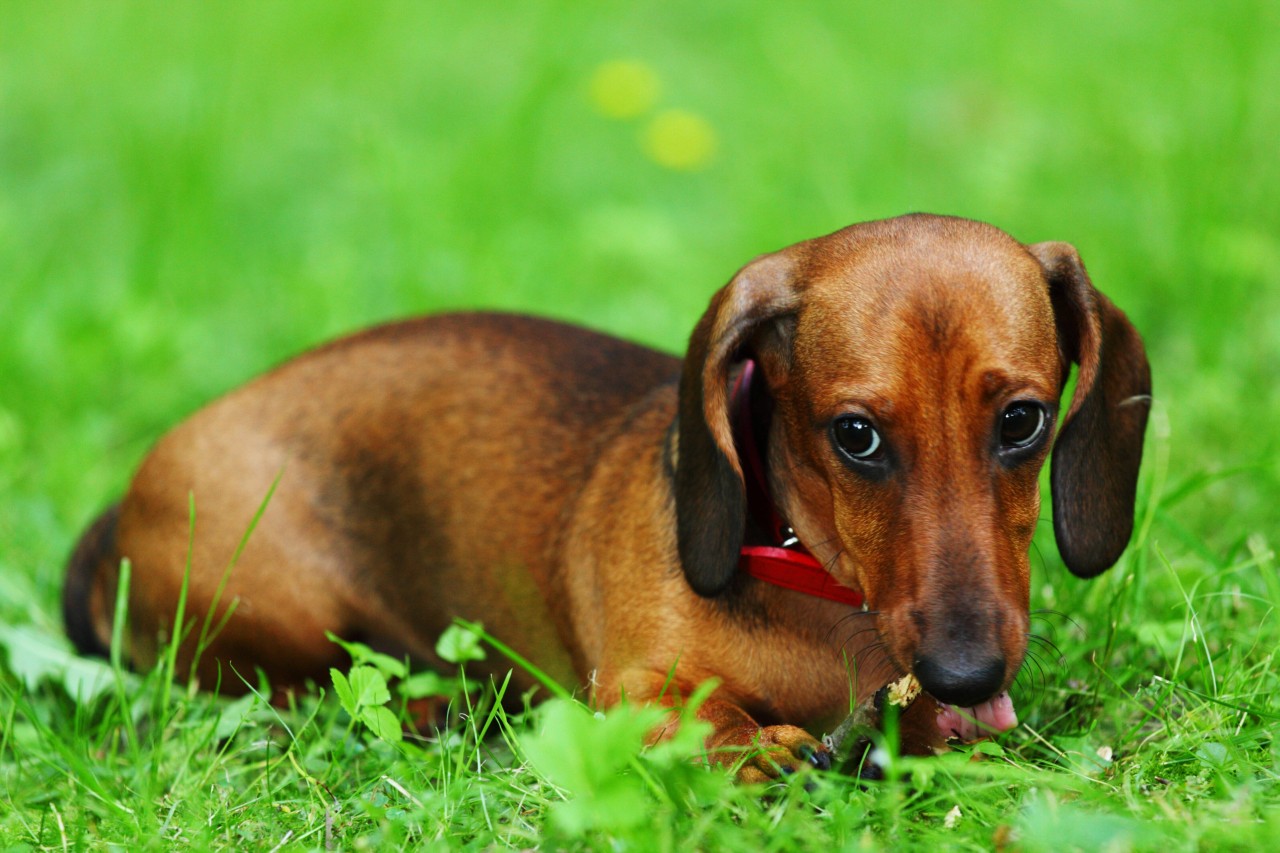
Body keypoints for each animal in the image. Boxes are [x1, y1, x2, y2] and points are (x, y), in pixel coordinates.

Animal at [64, 211, 1157, 778]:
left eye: (1021, 420)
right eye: (856, 435)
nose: (966, 673)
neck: (810, 585)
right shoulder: (629, 688)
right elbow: (708, 719)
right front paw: (764, 748)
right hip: (273, 595)